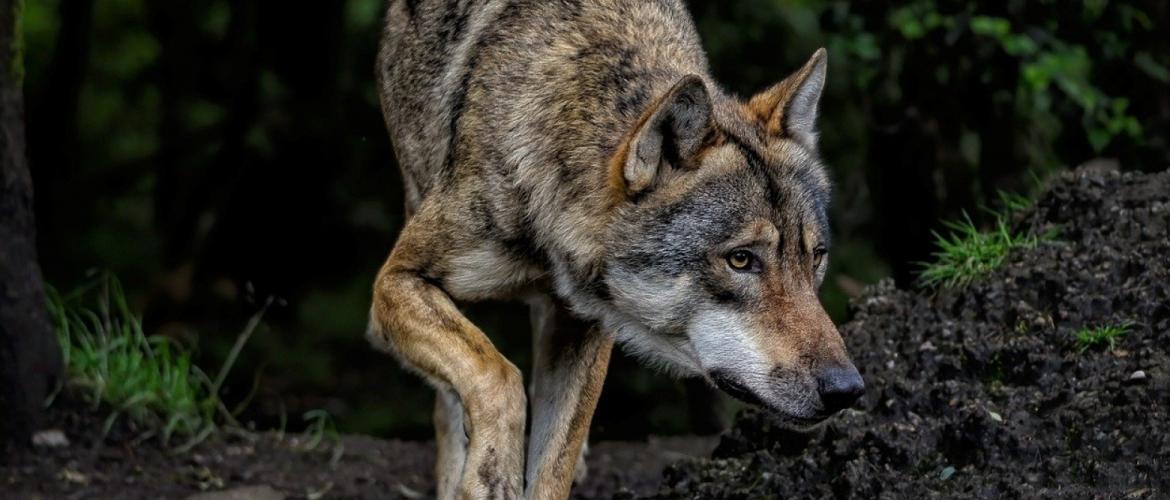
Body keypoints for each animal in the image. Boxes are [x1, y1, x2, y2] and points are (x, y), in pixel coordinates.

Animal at [369, 1, 865, 498]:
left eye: (815, 257)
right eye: (741, 259)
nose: (847, 389)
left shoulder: (586, 325)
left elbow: (554, 463)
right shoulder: (394, 283)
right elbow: (497, 374)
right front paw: (491, 471)